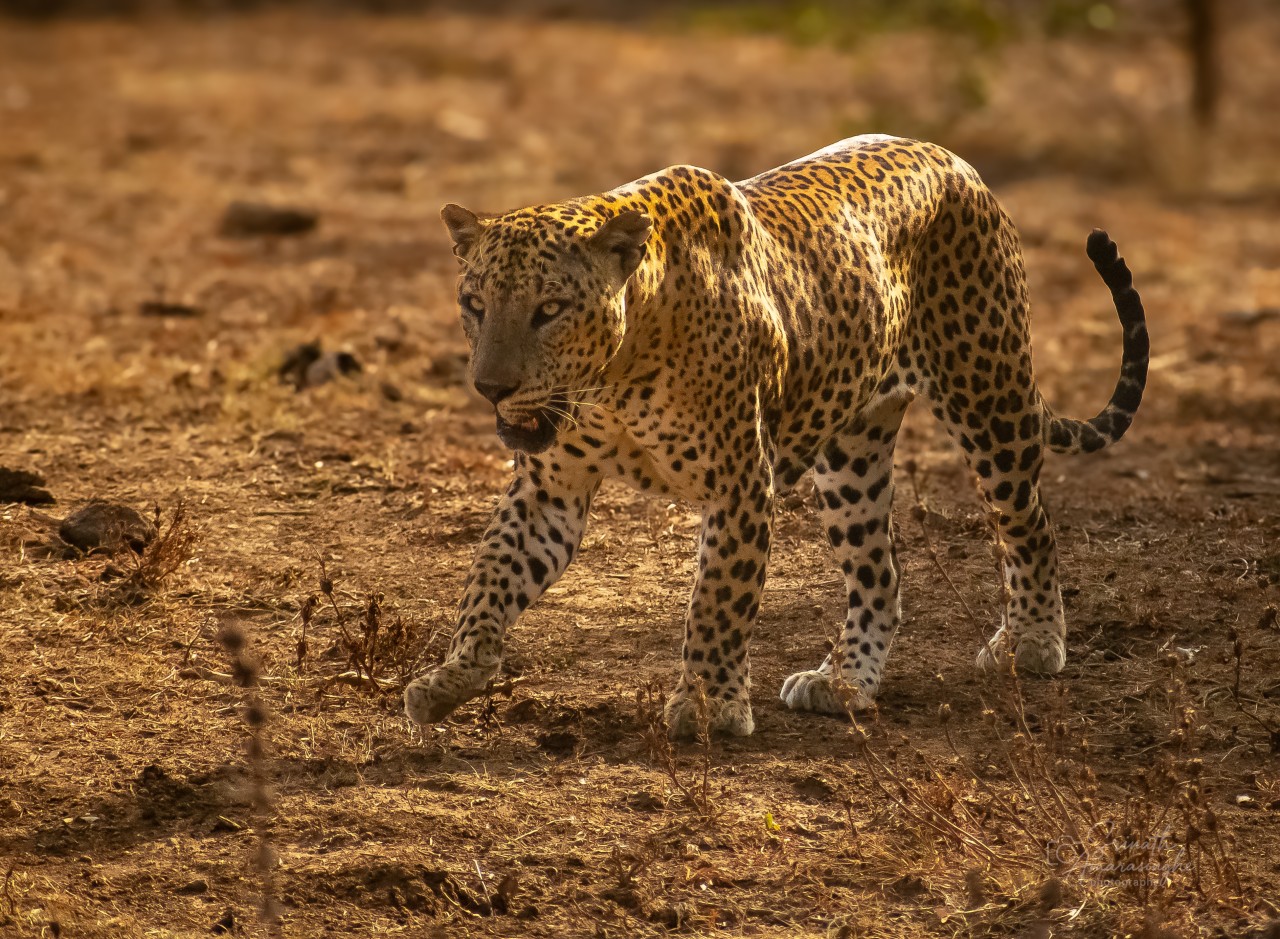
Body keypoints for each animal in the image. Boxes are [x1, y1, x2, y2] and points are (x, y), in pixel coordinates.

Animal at [403, 134, 1148, 738]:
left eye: (550, 310)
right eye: (474, 304)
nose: (490, 387)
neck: (615, 372)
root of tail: (955, 159)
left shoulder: (738, 483)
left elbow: (717, 602)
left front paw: (708, 706)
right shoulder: (549, 488)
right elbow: (490, 578)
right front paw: (451, 678)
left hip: (988, 395)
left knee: (1029, 523)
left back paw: (1031, 643)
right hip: (851, 457)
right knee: (881, 570)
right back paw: (845, 682)